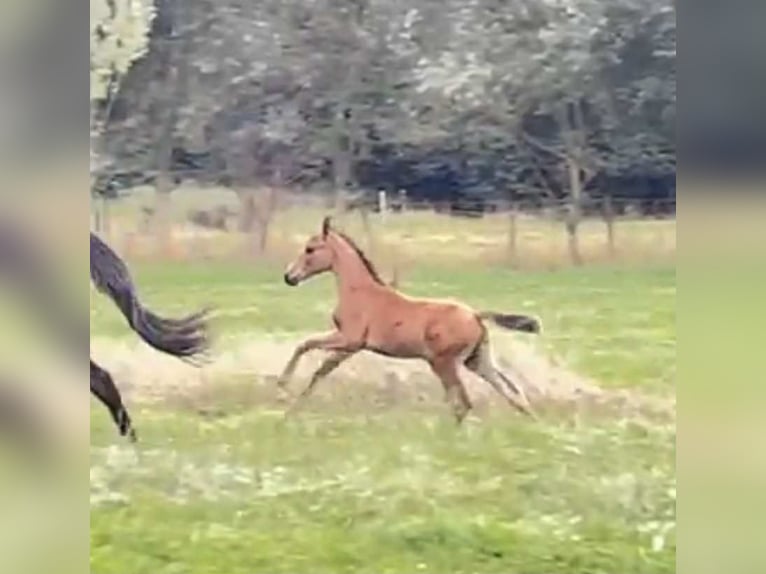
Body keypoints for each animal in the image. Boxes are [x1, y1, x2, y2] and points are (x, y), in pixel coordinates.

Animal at [278, 216, 541, 422]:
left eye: (310, 249)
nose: (289, 277)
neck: (359, 291)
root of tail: (475, 316)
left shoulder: (349, 338)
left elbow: (306, 345)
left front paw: (282, 384)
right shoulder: (350, 346)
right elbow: (319, 371)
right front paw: (291, 409)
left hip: (444, 363)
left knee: (462, 403)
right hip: (477, 361)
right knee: (514, 394)